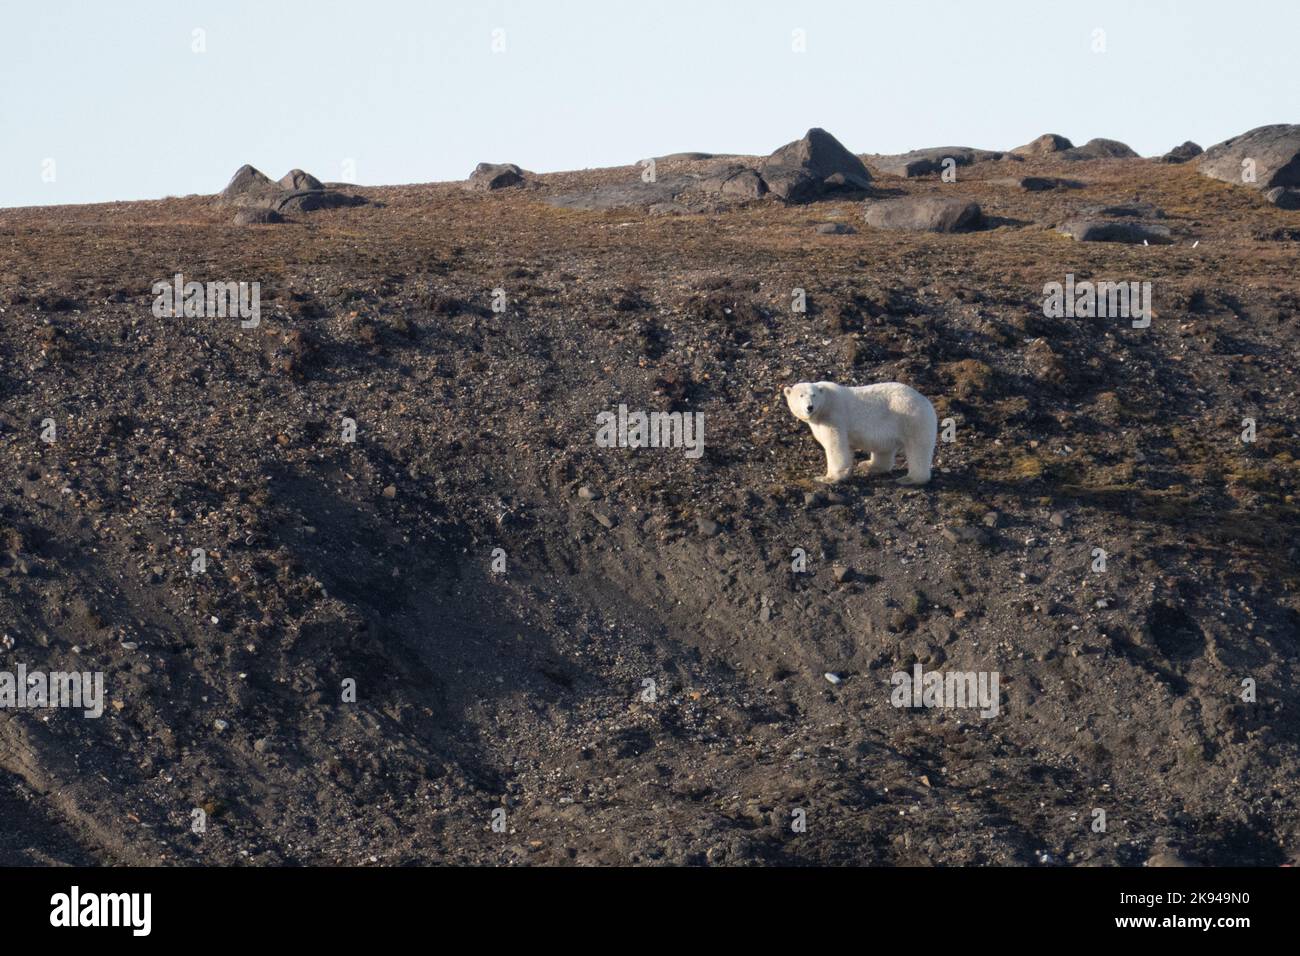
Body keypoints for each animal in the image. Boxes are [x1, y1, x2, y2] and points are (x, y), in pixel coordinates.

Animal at [780, 382, 935, 486]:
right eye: (801, 395)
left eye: (814, 395)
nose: (810, 407)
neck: (826, 404)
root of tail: (925, 400)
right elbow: (846, 449)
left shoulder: (834, 417)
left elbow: (835, 446)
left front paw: (826, 478)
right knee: (884, 449)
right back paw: (869, 465)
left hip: (911, 418)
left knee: (918, 449)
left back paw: (910, 479)